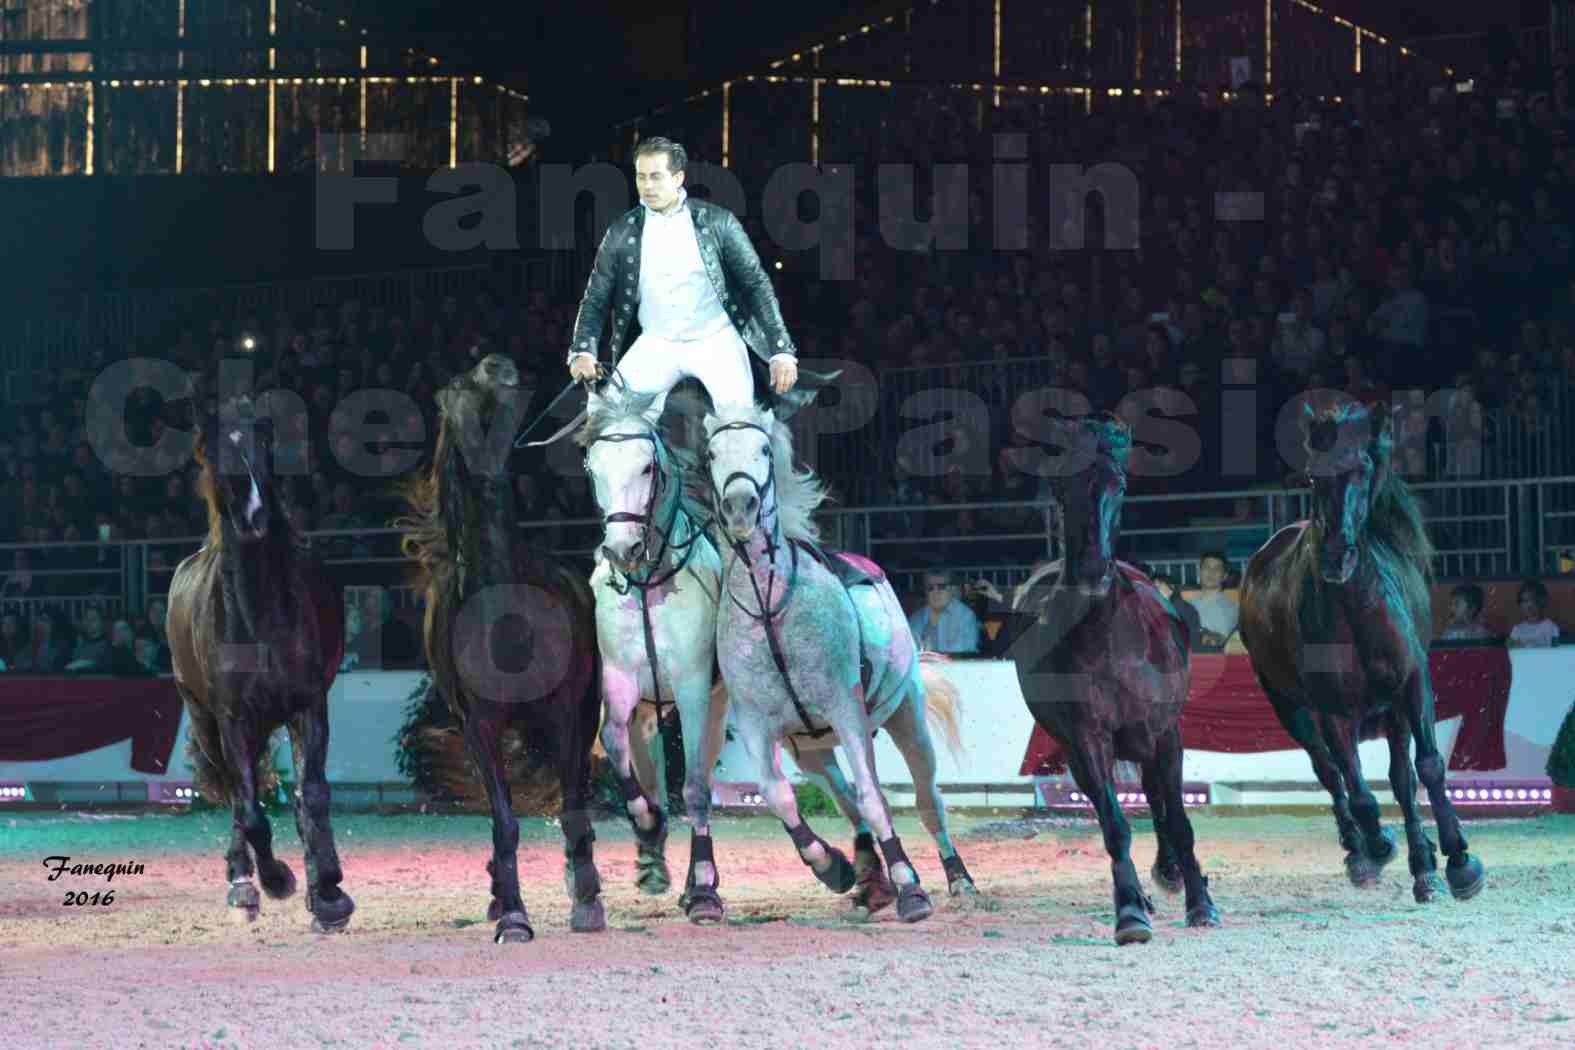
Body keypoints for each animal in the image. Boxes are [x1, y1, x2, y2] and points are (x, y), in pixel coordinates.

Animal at [169, 398, 354, 931]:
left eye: (266, 443)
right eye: (211, 451)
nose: (255, 516)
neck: (258, 616)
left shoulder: (307, 707)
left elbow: (312, 795)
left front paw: (328, 893)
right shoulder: (233, 720)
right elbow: (251, 811)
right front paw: (276, 881)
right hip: (208, 721)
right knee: (238, 799)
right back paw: (242, 885)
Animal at [400, 355, 601, 944]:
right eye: (460, 385)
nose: (500, 365)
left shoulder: (566, 716)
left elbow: (573, 802)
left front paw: (586, 902)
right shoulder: (480, 726)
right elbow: (504, 820)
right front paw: (512, 913)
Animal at [699, 398, 970, 925]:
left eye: (765, 449)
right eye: (713, 453)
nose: (740, 506)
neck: (770, 607)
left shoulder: (847, 712)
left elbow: (875, 797)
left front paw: (910, 888)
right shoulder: (760, 726)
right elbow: (780, 797)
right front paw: (833, 867)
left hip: (906, 718)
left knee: (925, 800)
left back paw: (957, 879)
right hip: (812, 749)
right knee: (846, 801)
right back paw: (867, 879)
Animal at [1001, 415, 1222, 950]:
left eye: (1119, 485)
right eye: (1062, 488)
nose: (1090, 571)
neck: (1109, 637)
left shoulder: (1165, 735)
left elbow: (1178, 819)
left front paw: (1200, 903)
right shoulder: (1088, 740)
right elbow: (1115, 825)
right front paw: (1130, 913)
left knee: (1158, 799)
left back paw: (1172, 874)